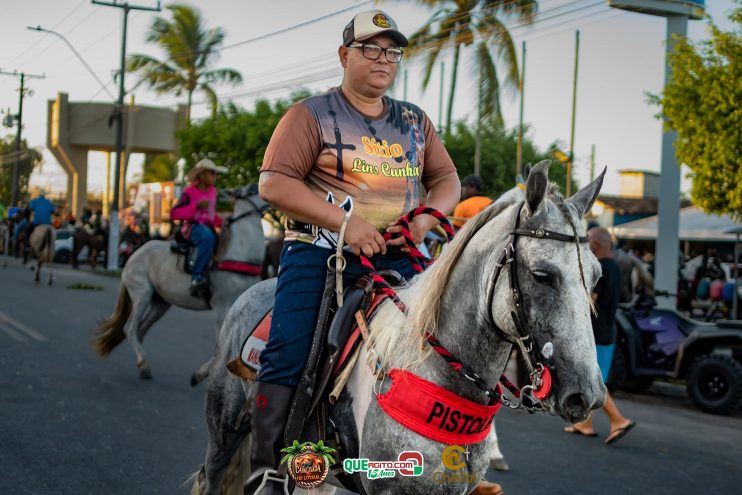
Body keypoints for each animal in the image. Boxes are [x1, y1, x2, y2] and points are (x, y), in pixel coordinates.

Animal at [92, 186, 268, 384]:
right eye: (253, 188)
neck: (239, 252)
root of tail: (135, 254)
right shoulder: (222, 306)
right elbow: (220, 346)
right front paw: (200, 375)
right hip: (141, 295)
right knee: (130, 328)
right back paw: (143, 365)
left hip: (160, 304)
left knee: (140, 330)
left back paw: (143, 365)